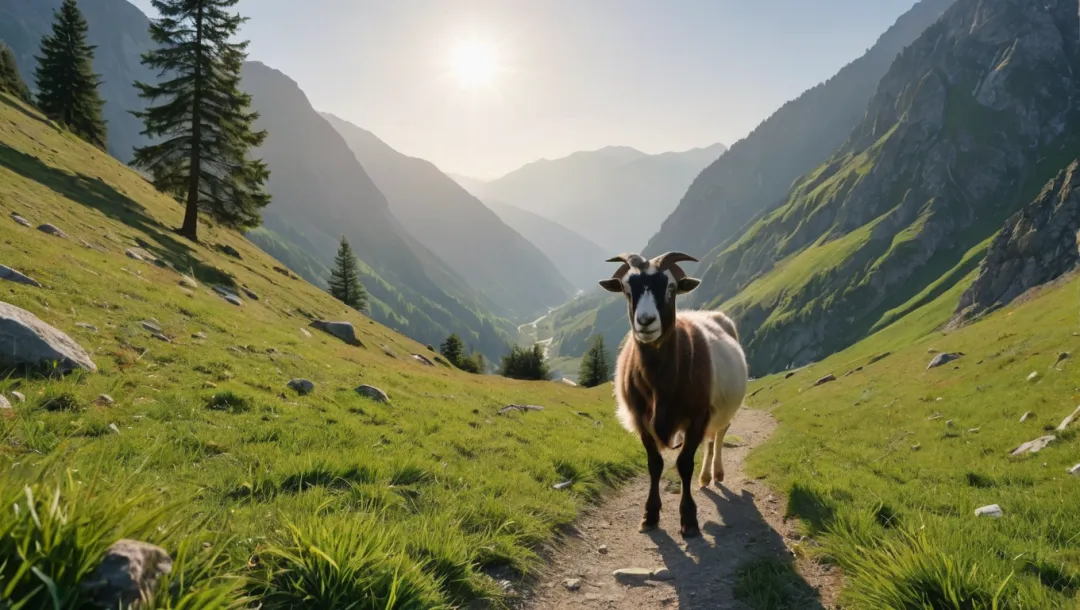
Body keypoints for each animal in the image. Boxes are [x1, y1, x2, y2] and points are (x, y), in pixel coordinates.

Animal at [596, 249, 747, 535]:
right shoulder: (641, 420)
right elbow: (655, 465)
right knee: (710, 440)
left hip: (722, 411)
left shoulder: (697, 416)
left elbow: (684, 464)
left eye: (672, 288)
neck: (660, 382)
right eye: (626, 289)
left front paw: (689, 518)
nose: (645, 321)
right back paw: (705, 477)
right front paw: (650, 515)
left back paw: (716, 474)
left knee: (719, 436)